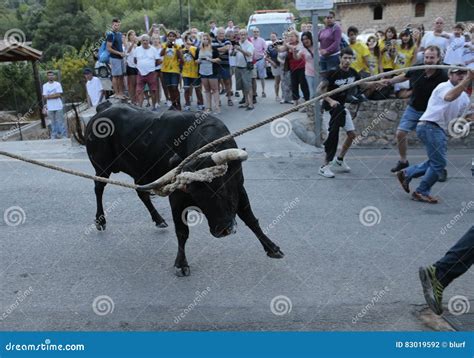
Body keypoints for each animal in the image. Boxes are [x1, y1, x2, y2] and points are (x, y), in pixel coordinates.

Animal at [76, 102, 284, 276]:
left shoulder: (240, 190)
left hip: (139, 172)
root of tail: (103, 109)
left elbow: (251, 220)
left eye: (222, 188)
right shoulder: (176, 197)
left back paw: (159, 220)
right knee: (98, 188)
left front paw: (272, 248)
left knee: (141, 192)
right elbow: (182, 232)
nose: (222, 231)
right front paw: (181, 264)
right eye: (196, 196)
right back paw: (100, 220)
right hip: (102, 167)